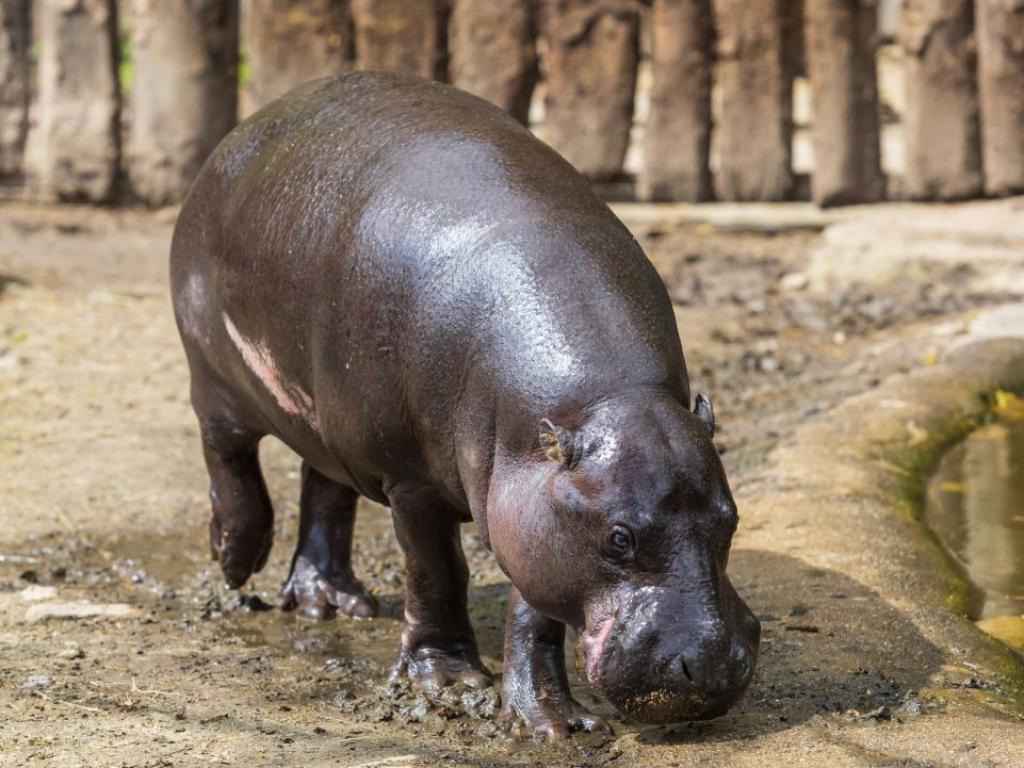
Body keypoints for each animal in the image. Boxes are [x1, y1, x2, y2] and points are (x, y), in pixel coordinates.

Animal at [169, 70, 761, 741]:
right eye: (619, 538)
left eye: (731, 519)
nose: (709, 667)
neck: (605, 399)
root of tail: (251, 124)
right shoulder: (413, 482)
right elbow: (437, 572)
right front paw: (448, 681)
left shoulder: (532, 503)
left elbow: (535, 613)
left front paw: (553, 722)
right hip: (214, 374)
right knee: (228, 455)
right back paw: (235, 559)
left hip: (331, 418)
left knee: (325, 485)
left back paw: (331, 603)